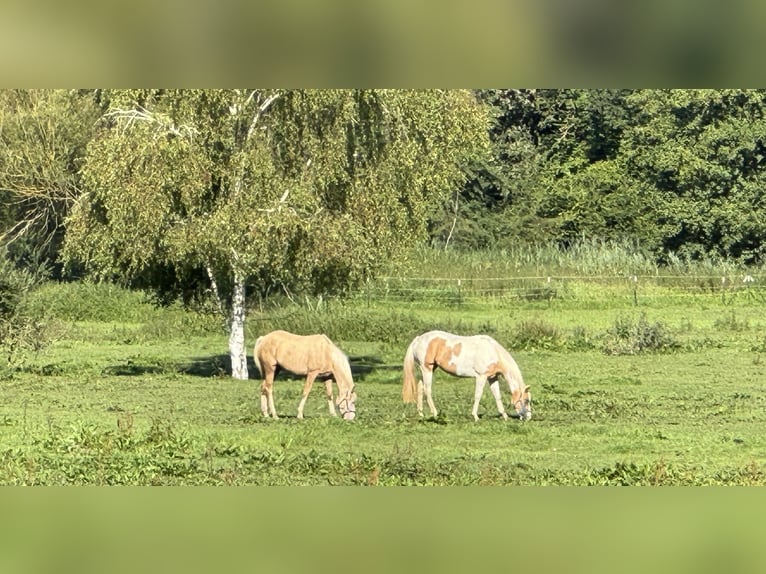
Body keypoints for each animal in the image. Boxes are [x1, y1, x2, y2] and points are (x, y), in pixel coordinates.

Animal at [402, 330, 536, 420]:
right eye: (526, 400)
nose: (528, 417)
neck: (493, 351)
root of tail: (418, 339)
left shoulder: (492, 377)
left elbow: (497, 396)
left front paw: (504, 416)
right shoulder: (481, 376)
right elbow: (478, 395)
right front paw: (475, 416)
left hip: (427, 369)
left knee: (420, 388)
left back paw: (421, 414)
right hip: (427, 369)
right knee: (427, 390)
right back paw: (434, 414)